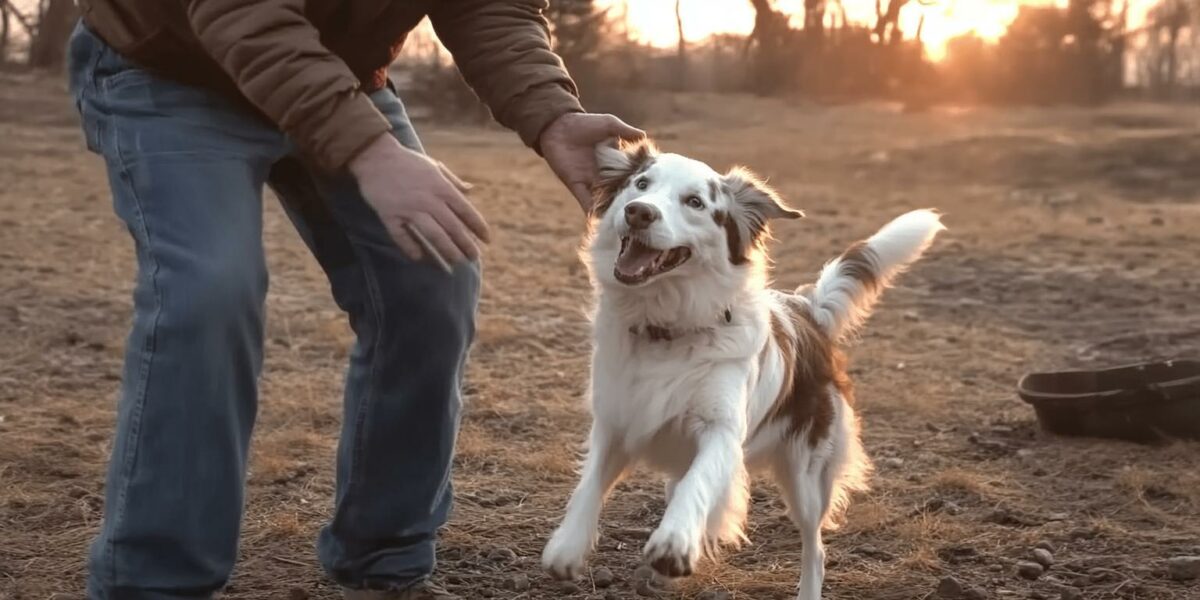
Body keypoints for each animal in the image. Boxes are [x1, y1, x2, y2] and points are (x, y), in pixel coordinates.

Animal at [544, 138, 945, 597]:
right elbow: (589, 483)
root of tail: (808, 309)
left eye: (695, 202)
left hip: (808, 476)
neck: (667, 326)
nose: (639, 212)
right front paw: (568, 545)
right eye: (641, 184)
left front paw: (675, 541)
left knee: (814, 547)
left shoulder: (722, 430)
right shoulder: (614, 420)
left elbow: (699, 484)